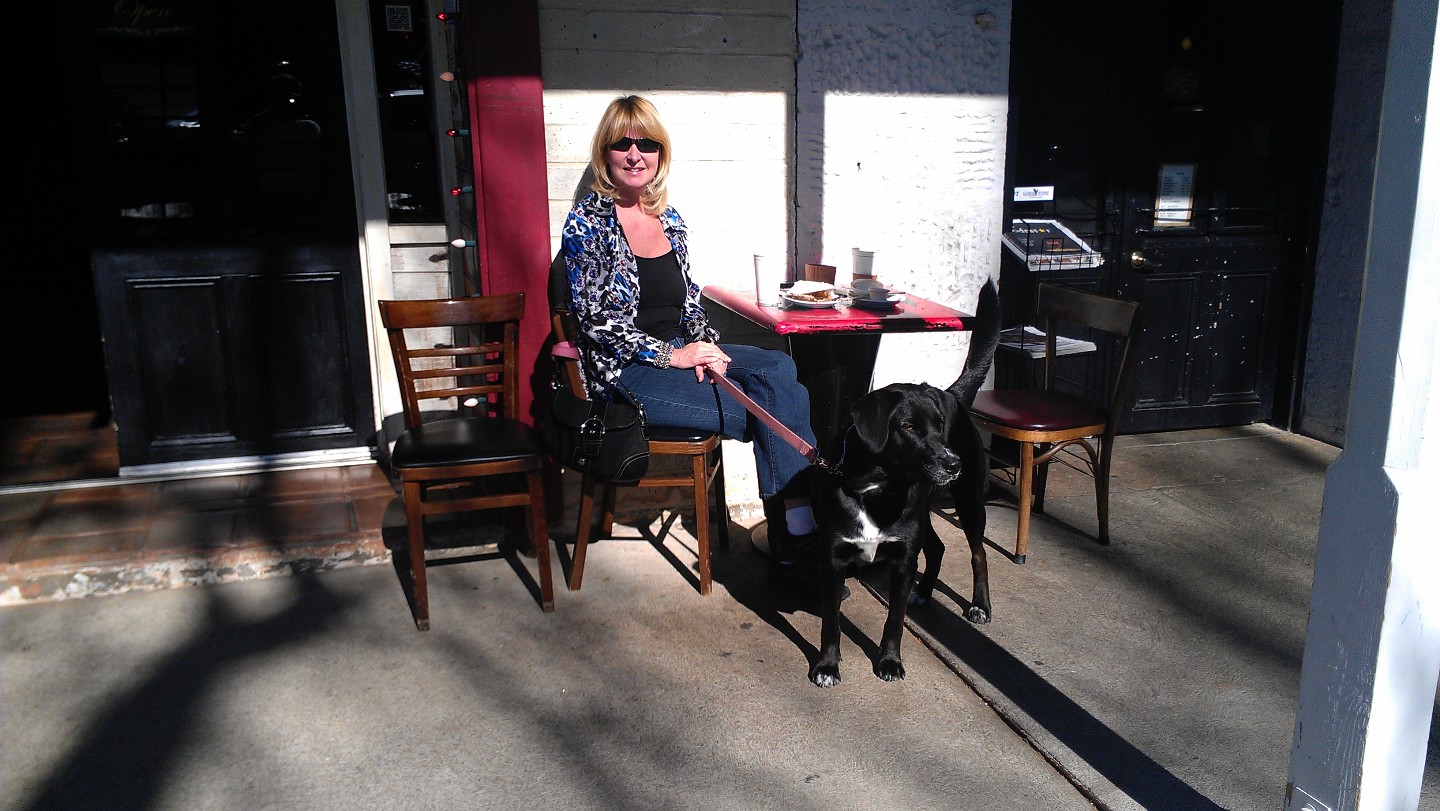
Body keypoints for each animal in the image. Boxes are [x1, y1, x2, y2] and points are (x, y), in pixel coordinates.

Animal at [807, 280, 1000, 687]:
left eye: (939, 426)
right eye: (908, 427)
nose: (953, 463)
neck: (875, 489)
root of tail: (952, 393)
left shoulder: (903, 560)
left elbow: (893, 621)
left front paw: (889, 662)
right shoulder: (833, 560)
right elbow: (831, 622)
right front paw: (827, 666)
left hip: (969, 502)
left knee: (979, 554)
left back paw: (979, 606)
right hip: (924, 513)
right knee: (938, 547)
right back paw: (924, 593)